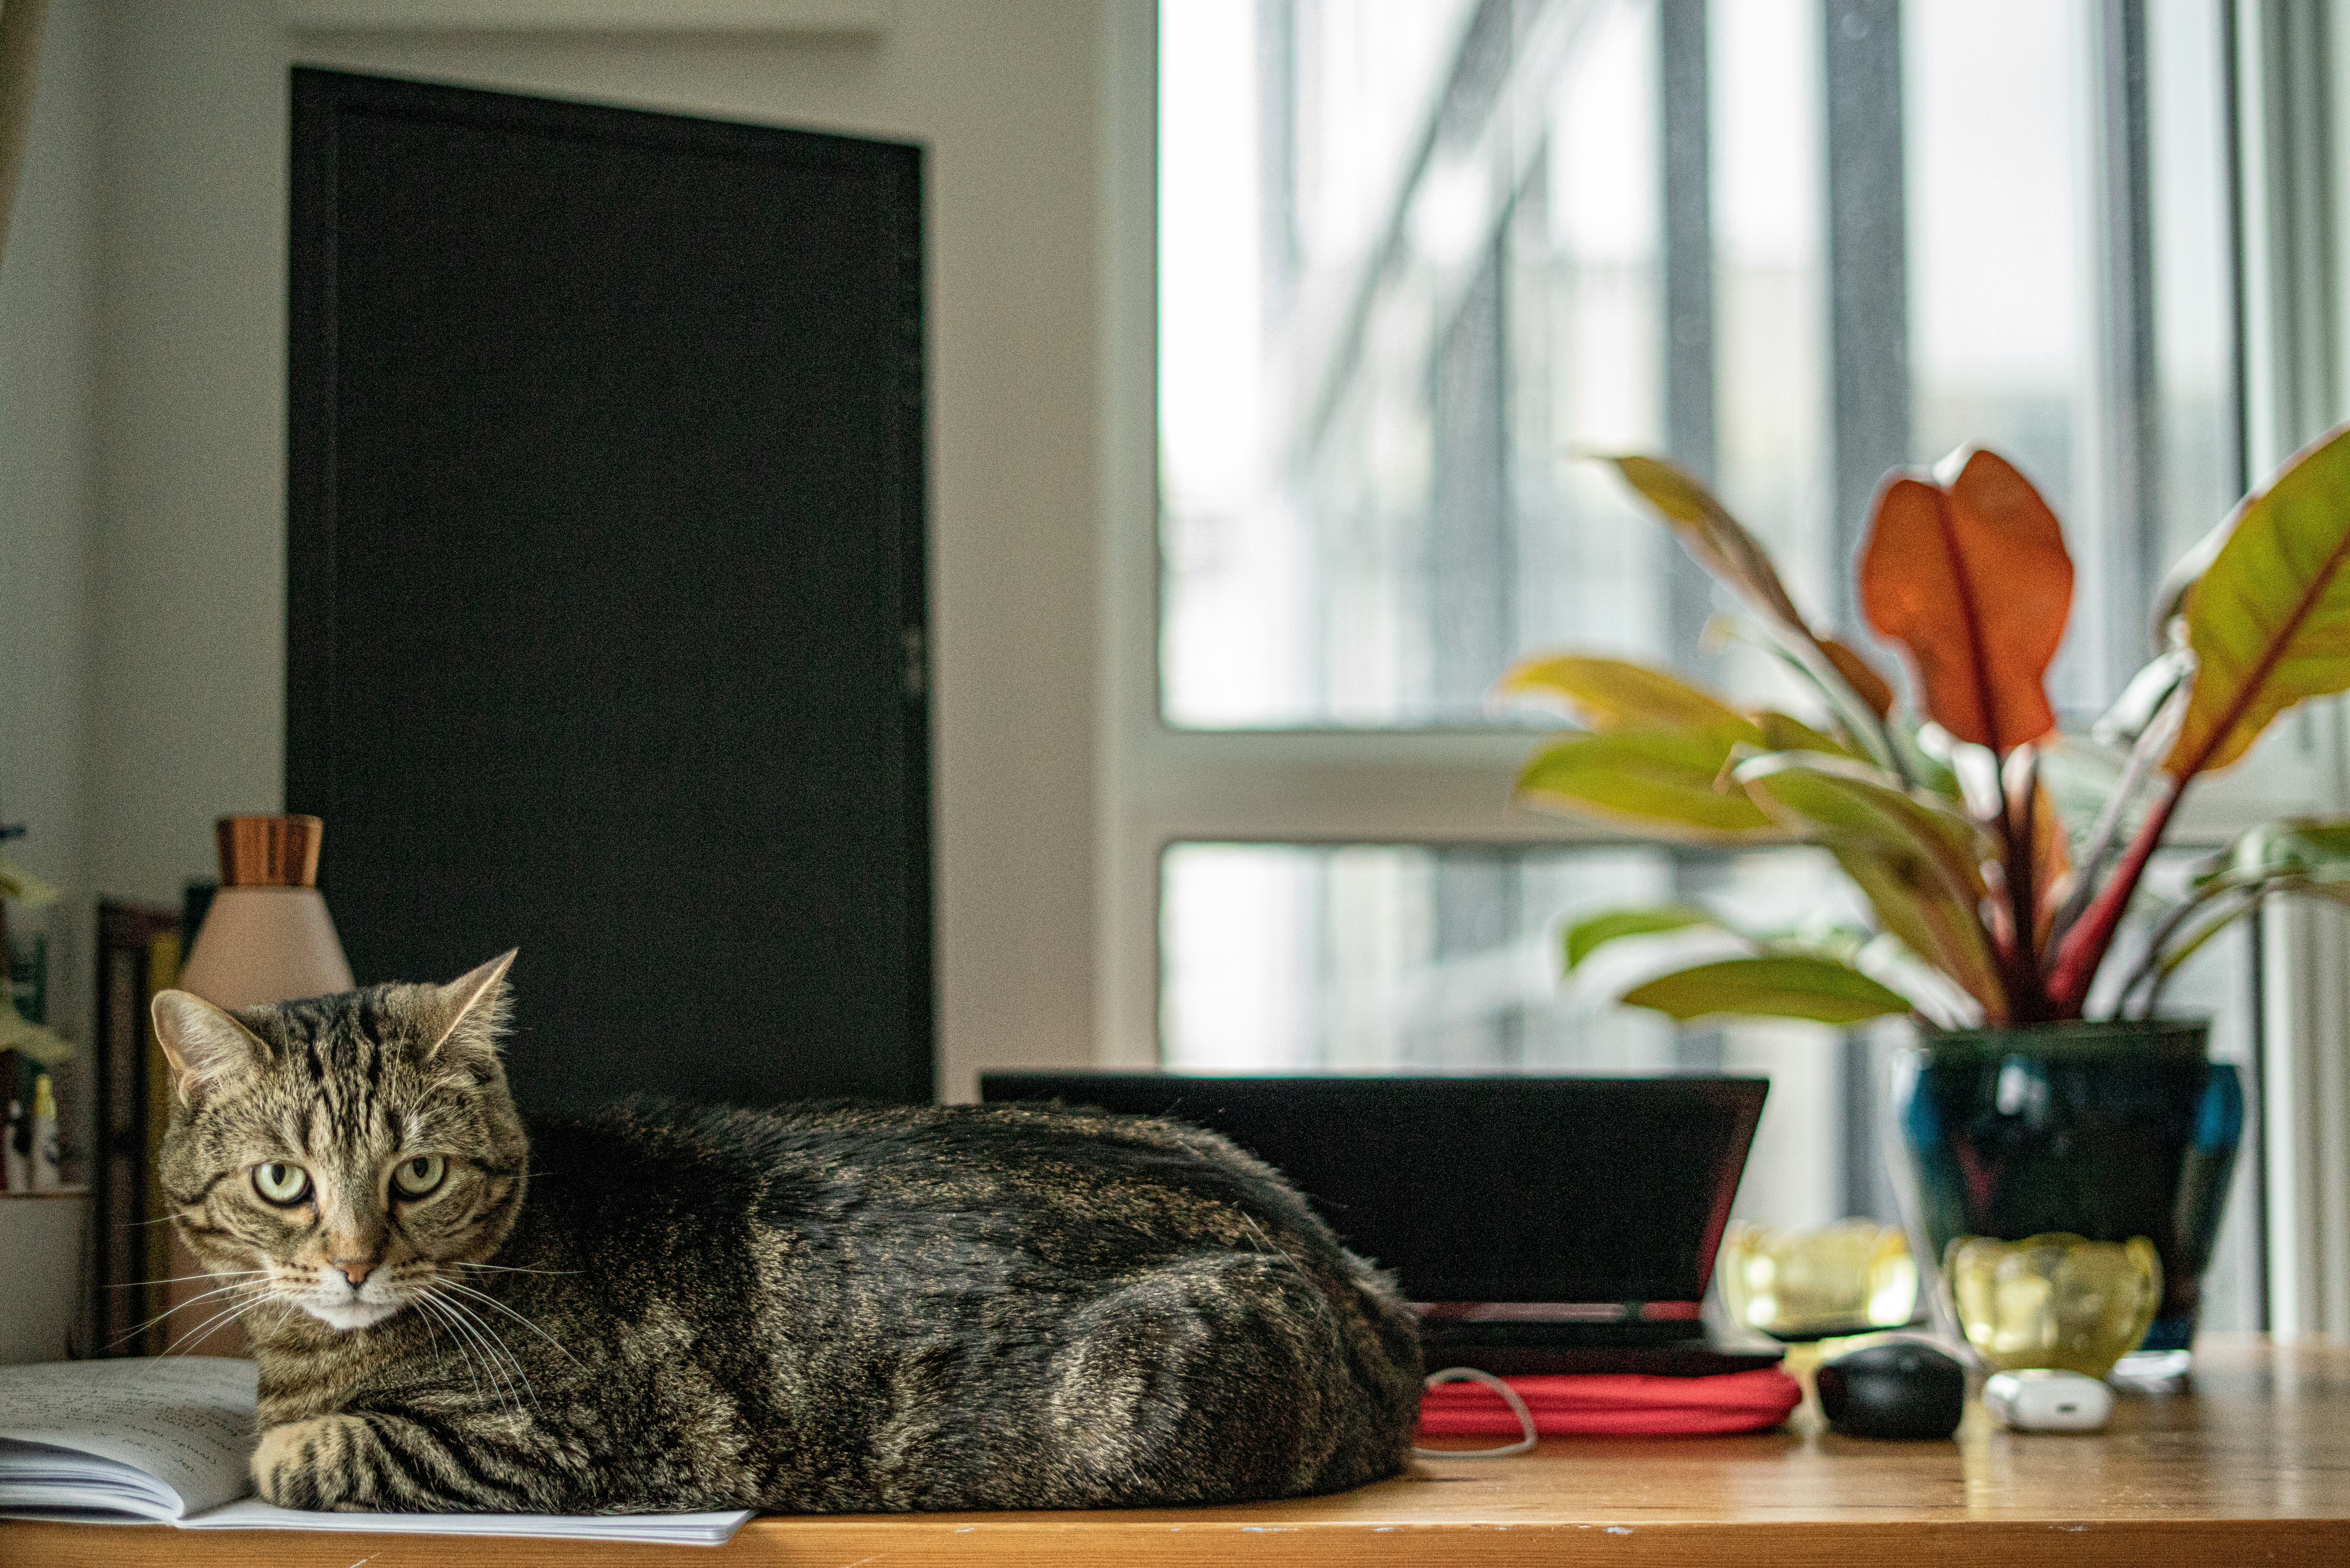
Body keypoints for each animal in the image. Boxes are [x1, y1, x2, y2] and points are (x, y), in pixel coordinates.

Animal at [156, 950, 1429, 1514]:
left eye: (417, 1172)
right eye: (283, 1181)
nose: (354, 1262)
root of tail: (1354, 1279)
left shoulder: (541, 1446)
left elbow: (310, 1451)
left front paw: (275, 1447)